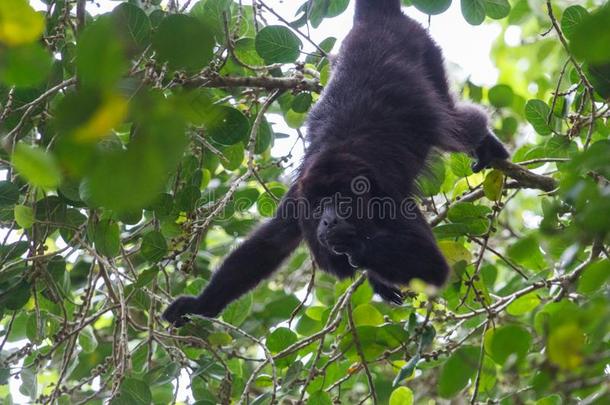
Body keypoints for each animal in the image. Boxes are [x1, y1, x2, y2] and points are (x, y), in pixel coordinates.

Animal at [163, 0, 508, 326]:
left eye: (341, 200)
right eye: (319, 206)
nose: (328, 221)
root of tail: (374, 22)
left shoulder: (388, 198)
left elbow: (432, 266)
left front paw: (353, 245)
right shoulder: (298, 198)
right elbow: (269, 245)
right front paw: (199, 305)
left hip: (425, 48)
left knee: (455, 124)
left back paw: (484, 143)